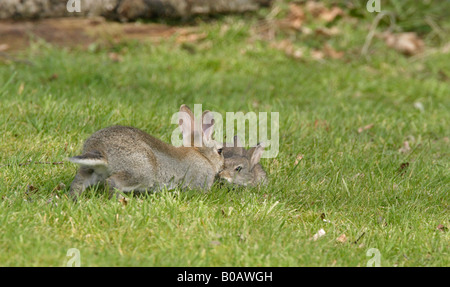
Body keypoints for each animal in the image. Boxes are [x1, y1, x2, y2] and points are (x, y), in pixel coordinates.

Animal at [67, 104, 225, 201]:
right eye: (220, 151)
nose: (223, 165)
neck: (203, 155)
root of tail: (100, 149)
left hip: (93, 170)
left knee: (80, 180)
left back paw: (73, 199)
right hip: (142, 171)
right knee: (113, 182)